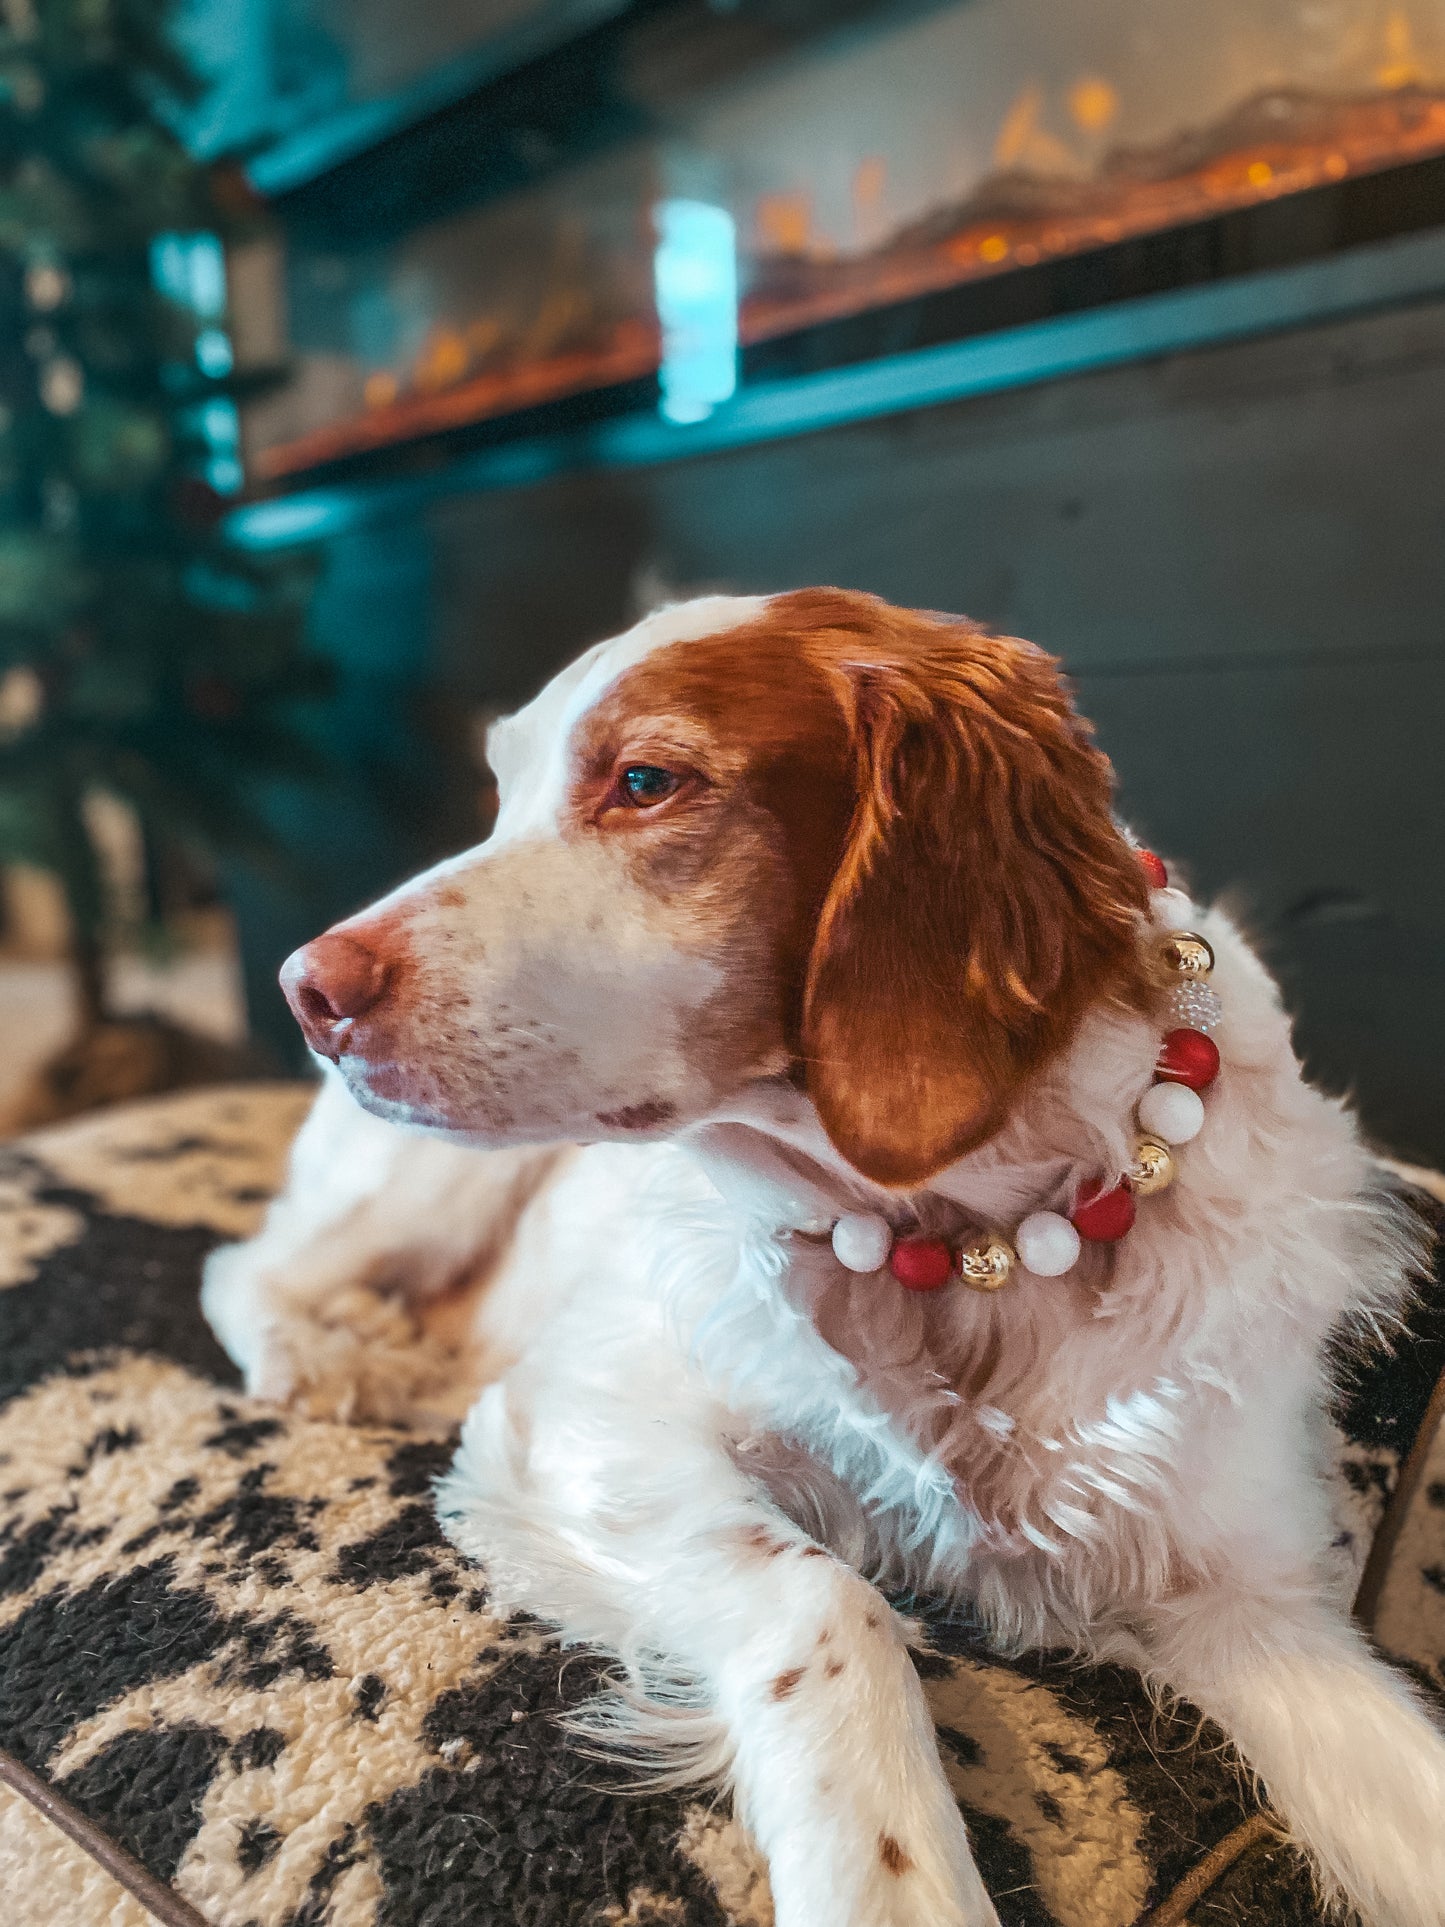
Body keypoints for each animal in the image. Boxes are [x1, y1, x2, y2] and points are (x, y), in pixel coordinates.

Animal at [201, 589, 1445, 1927]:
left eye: (645, 781)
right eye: (501, 791)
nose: (302, 988)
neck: (972, 1253)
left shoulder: (1251, 1599)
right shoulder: (580, 1420)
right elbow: (829, 1595)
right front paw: (886, 1878)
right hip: (428, 1176)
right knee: (249, 1268)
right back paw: (333, 1361)